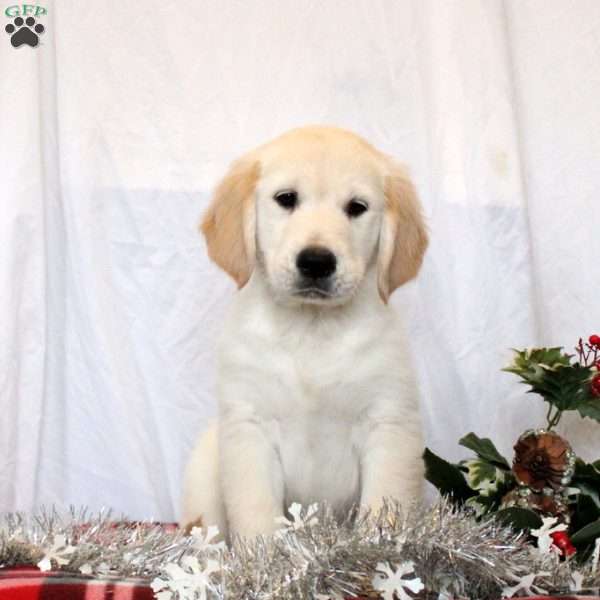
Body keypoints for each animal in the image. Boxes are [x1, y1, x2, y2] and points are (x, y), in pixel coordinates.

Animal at [182, 126, 426, 540]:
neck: (311, 329)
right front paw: (263, 556)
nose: (316, 261)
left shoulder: (389, 422)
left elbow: (383, 510)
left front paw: (375, 552)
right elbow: (257, 516)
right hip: (204, 466)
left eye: (356, 207)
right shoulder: (250, 426)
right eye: (286, 199)